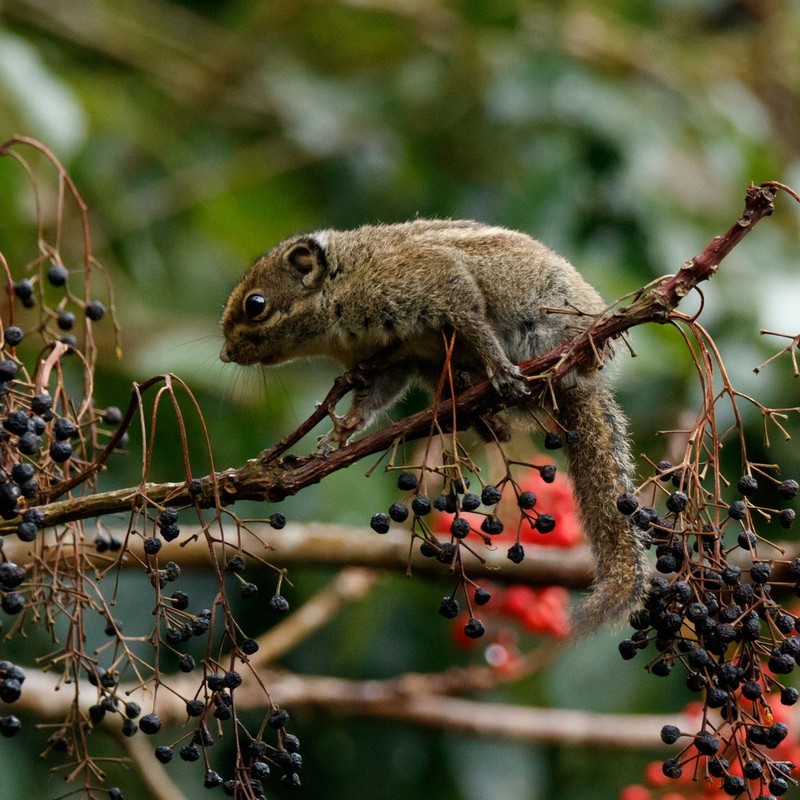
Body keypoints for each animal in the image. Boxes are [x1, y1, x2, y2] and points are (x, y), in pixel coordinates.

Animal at [222, 219, 648, 632]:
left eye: (255, 304)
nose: (225, 354)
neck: (339, 290)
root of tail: (587, 381)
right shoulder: (390, 360)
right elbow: (372, 398)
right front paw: (340, 431)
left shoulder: (432, 280)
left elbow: (471, 316)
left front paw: (499, 367)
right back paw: (482, 413)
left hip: (550, 322)